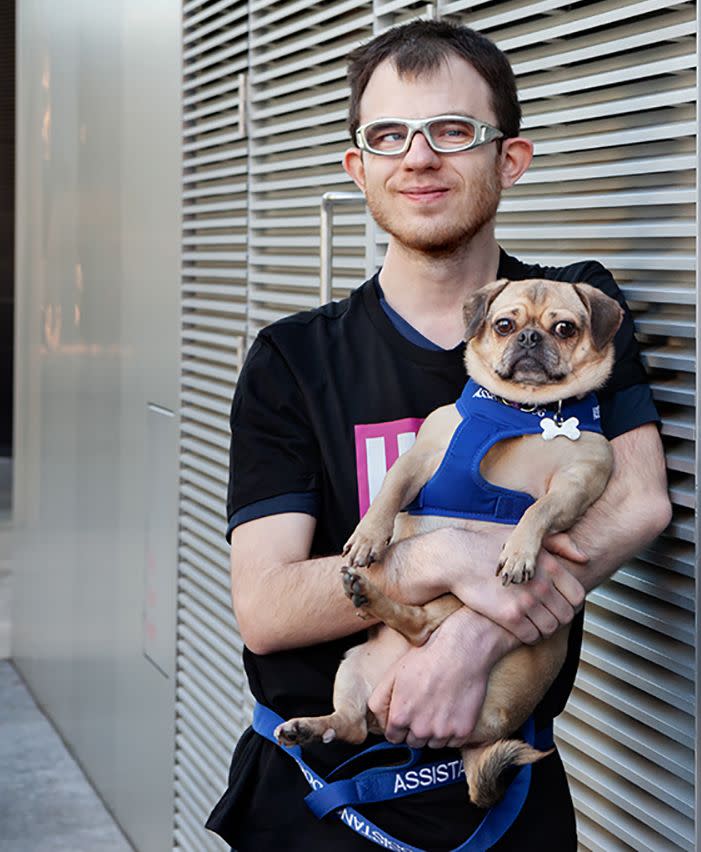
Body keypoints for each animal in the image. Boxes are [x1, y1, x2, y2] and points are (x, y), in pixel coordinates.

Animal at [274, 282, 624, 812]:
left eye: (565, 328)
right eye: (504, 324)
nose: (528, 338)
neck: (525, 412)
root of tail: (484, 736)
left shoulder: (575, 483)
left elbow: (537, 511)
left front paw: (520, 550)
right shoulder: (421, 458)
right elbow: (390, 493)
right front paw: (368, 538)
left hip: (460, 607)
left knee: (420, 631)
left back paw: (369, 598)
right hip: (352, 668)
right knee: (350, 727)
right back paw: (311, 722)